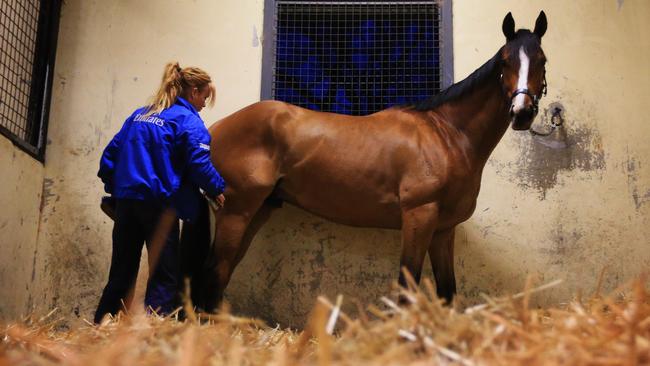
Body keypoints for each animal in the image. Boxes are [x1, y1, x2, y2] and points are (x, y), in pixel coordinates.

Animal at [182, 10, 548, 310]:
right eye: (505, 62)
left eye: (542, 60)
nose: (522, 112)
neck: (447, 134)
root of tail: (214, 129)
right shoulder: (419, 217)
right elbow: (406, 290)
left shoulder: (443, 229)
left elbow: (447, 293)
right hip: (237, 211)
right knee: (215, 272)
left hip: (256, 211)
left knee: (221, 271)